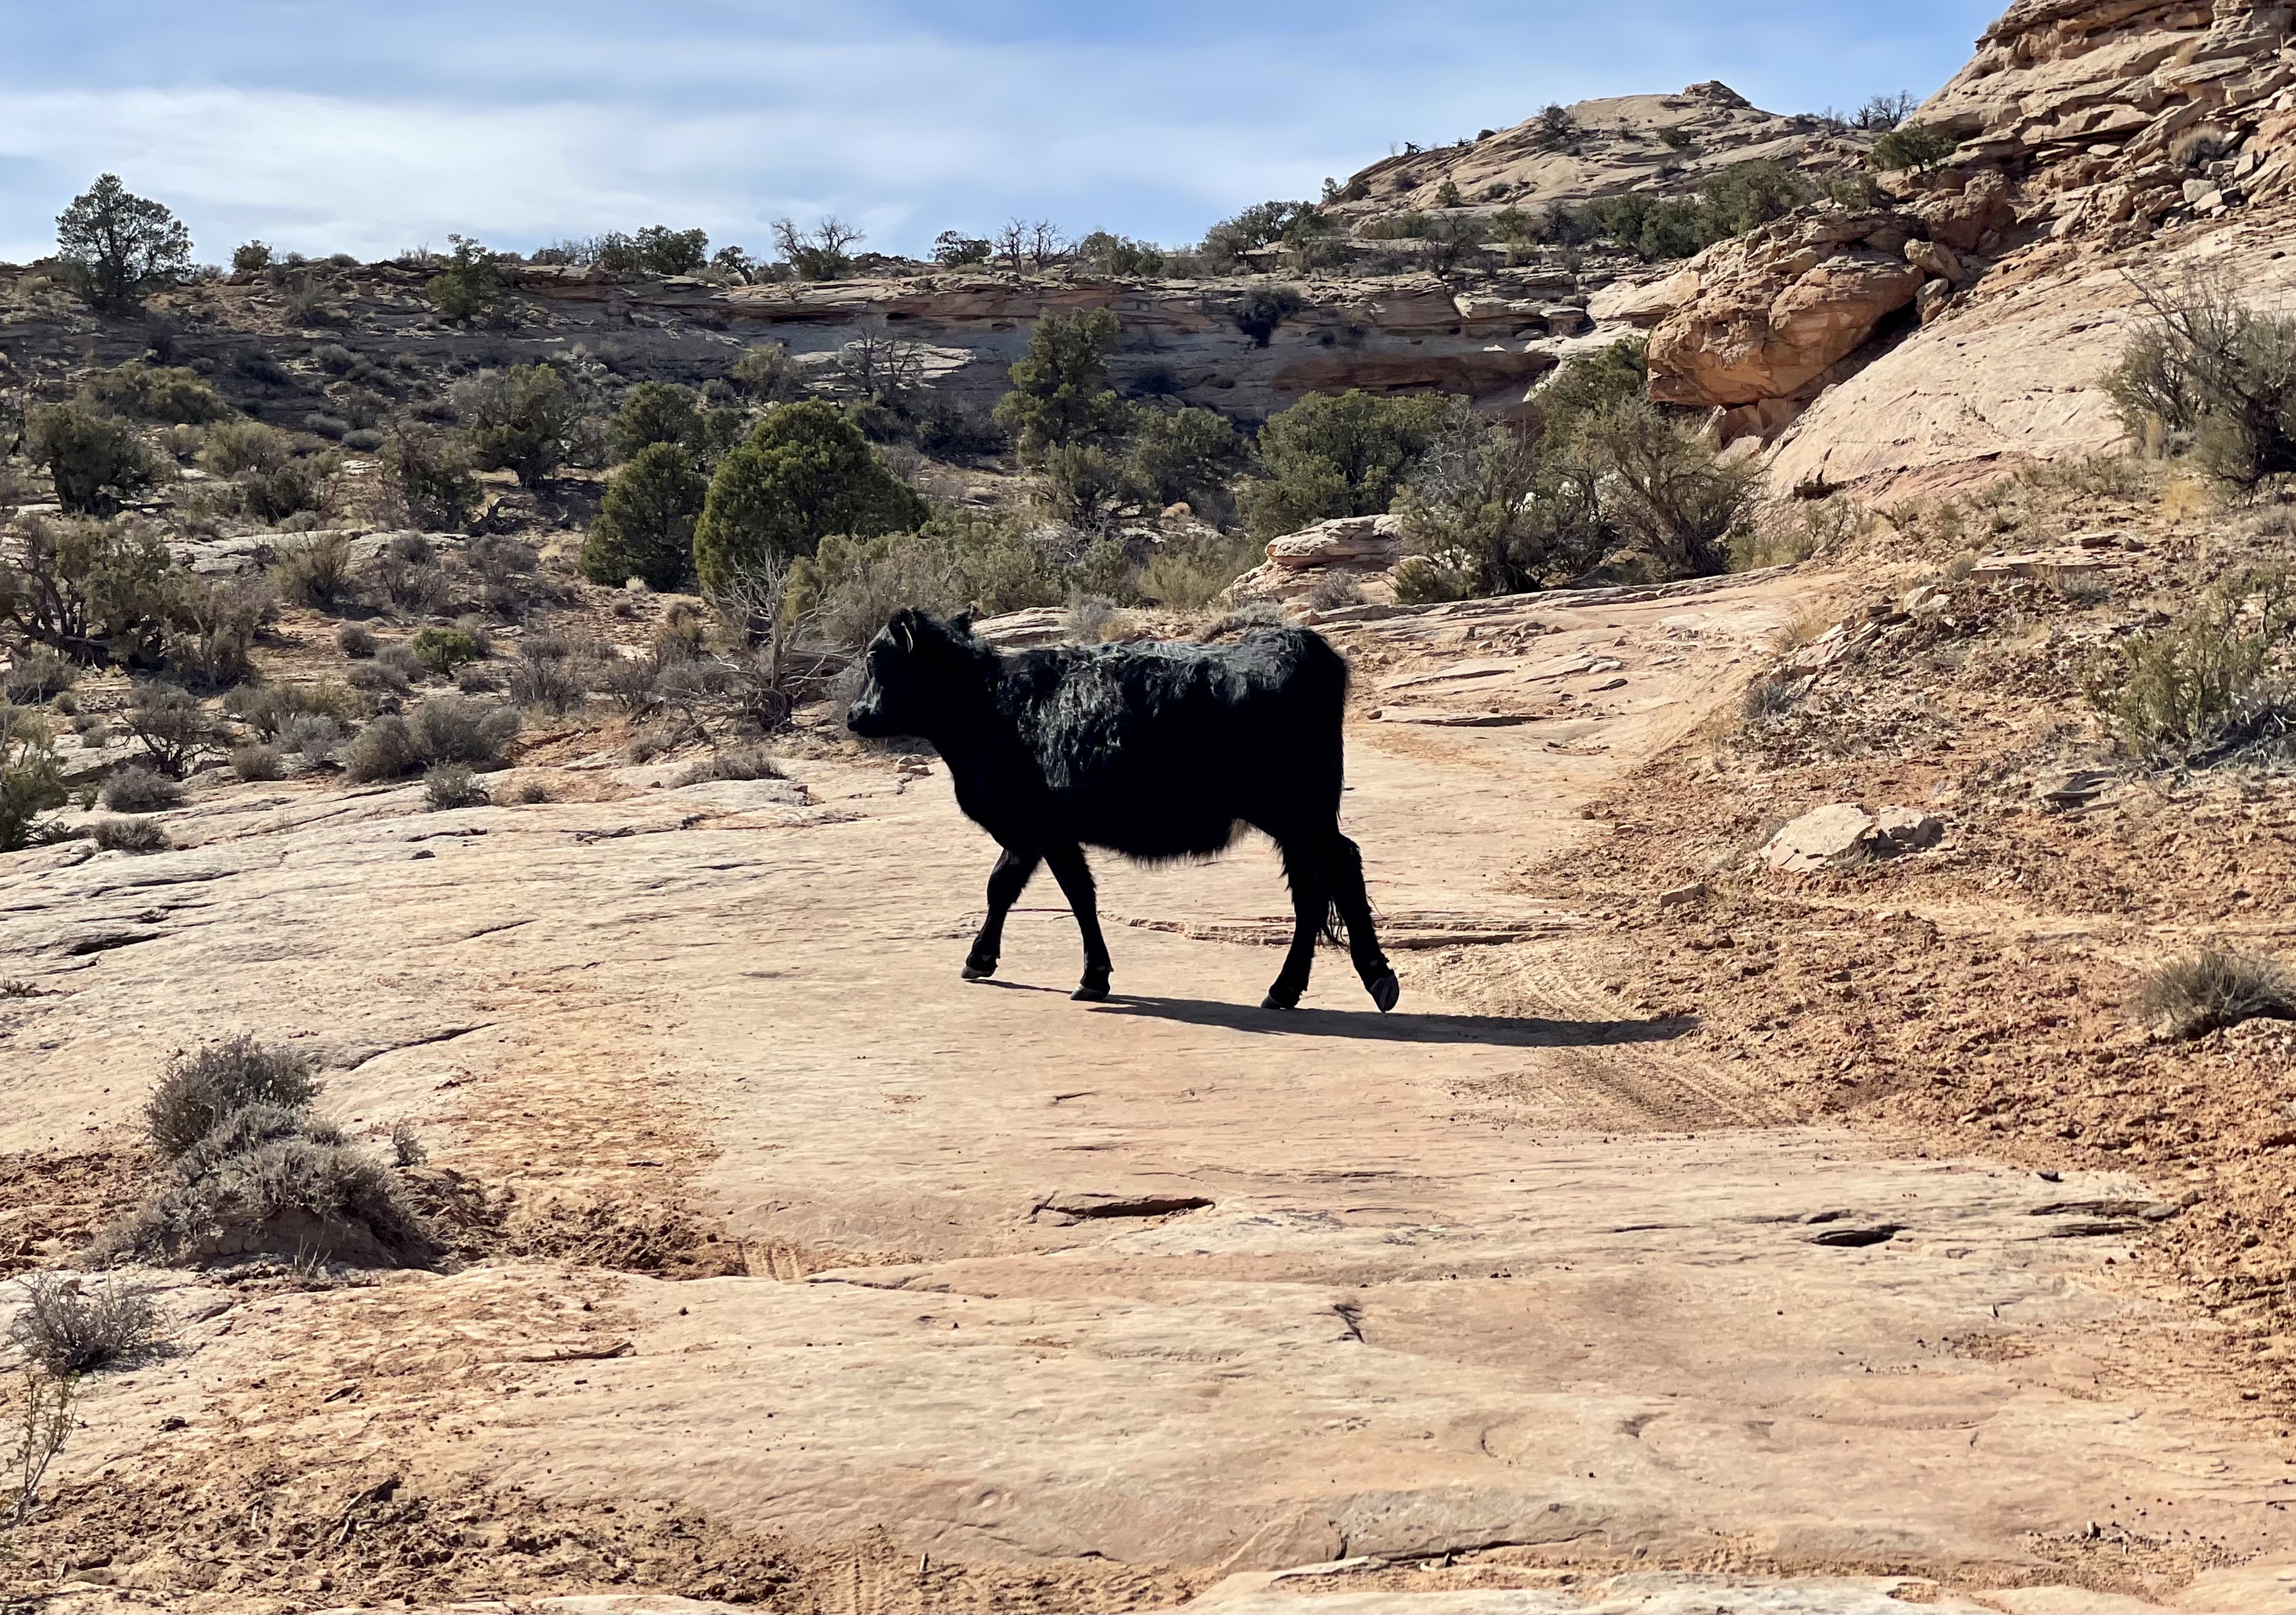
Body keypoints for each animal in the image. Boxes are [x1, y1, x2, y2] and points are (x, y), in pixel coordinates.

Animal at [849, 606, 1396, 1010]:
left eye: (877, 657)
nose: (855, 715)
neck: (990, 705)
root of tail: (1293, 643)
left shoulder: (1047, 828)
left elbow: (1077, 895)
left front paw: (1093, 976)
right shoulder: (1030, 832)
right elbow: (1002, 886)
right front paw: (981, 959)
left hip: (1297, 814)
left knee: (1341, 867)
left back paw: (1378, 978)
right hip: (1295, 823)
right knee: (1310, 894)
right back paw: (1283, 989)